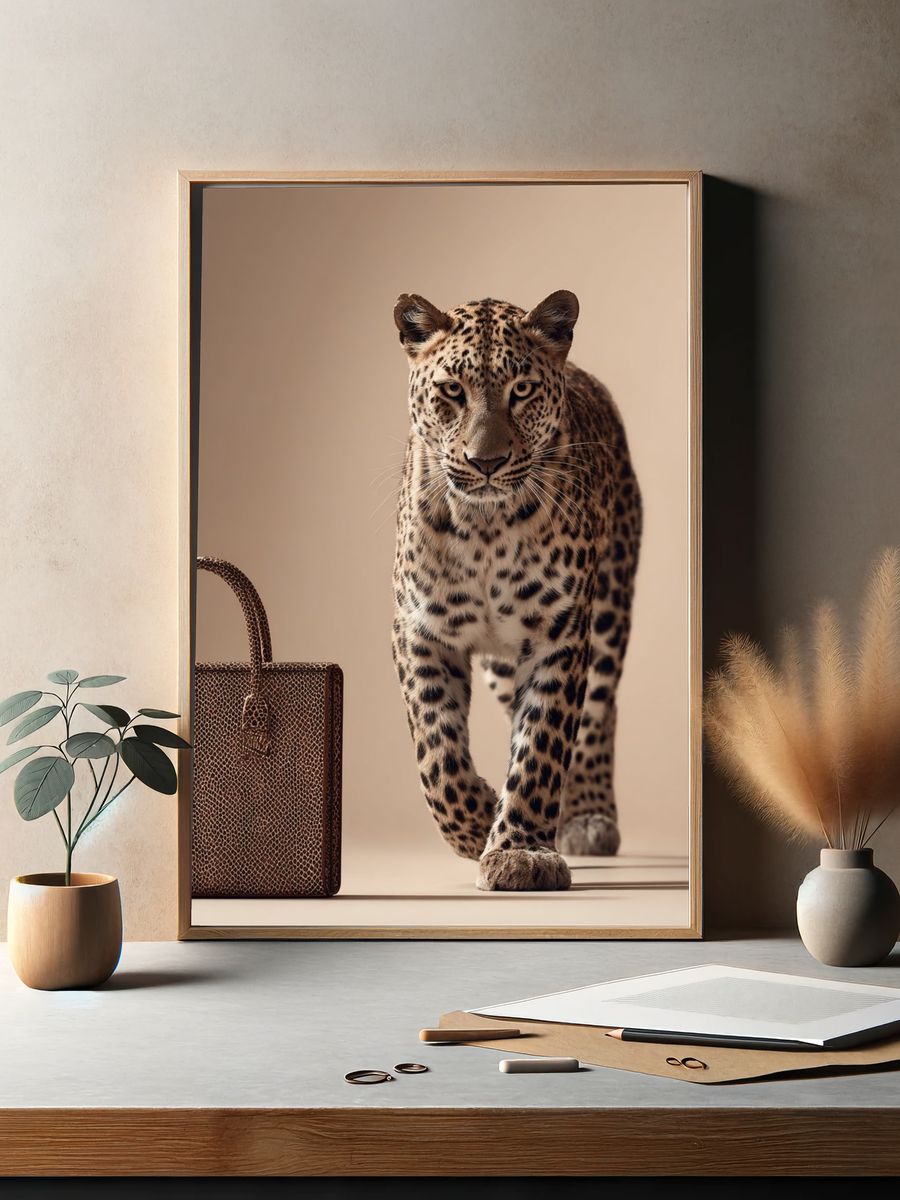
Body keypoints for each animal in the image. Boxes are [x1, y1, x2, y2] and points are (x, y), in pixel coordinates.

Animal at [391, 290, 642, 892]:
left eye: (521, 390)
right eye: (452, 391)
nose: (486, 462)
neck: (485, 528)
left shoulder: (559, 633)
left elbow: (543, 746)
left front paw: (520, 850)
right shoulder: (421, 631)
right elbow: (436, 756)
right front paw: (478, 820)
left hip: (608, 613)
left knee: (599, 713)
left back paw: (587, 817)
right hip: (503, 667)